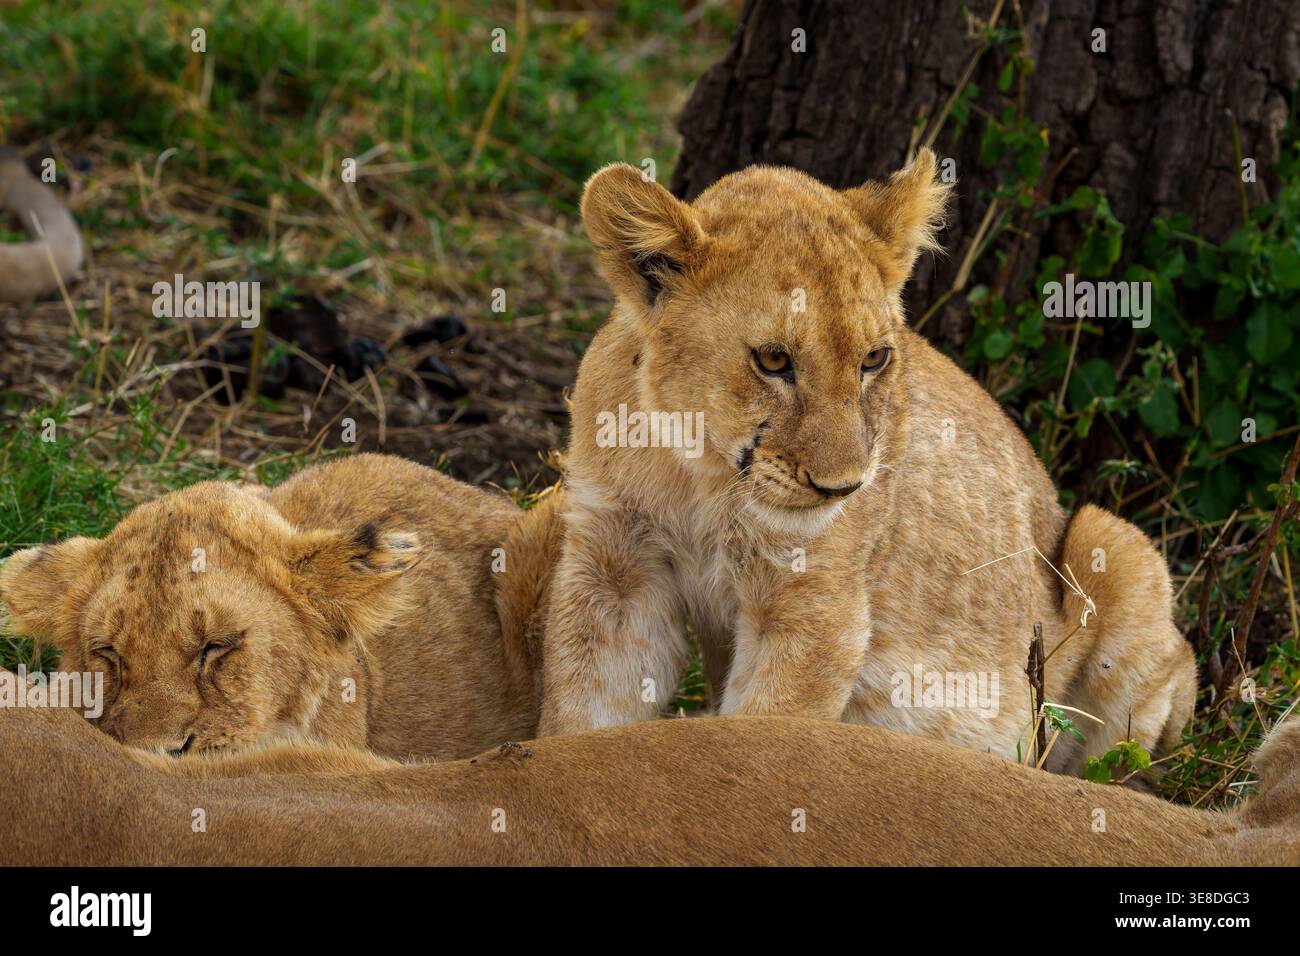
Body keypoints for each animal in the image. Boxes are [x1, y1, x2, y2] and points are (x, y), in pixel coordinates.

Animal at [536, 149, 1197, 775]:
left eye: (874, 359)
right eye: (772, 360)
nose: (842, 489)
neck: (697, 467)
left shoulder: (816, 608)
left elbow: (759, 738)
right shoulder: (617, 573)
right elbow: (578, 715)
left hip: (1112, 542)